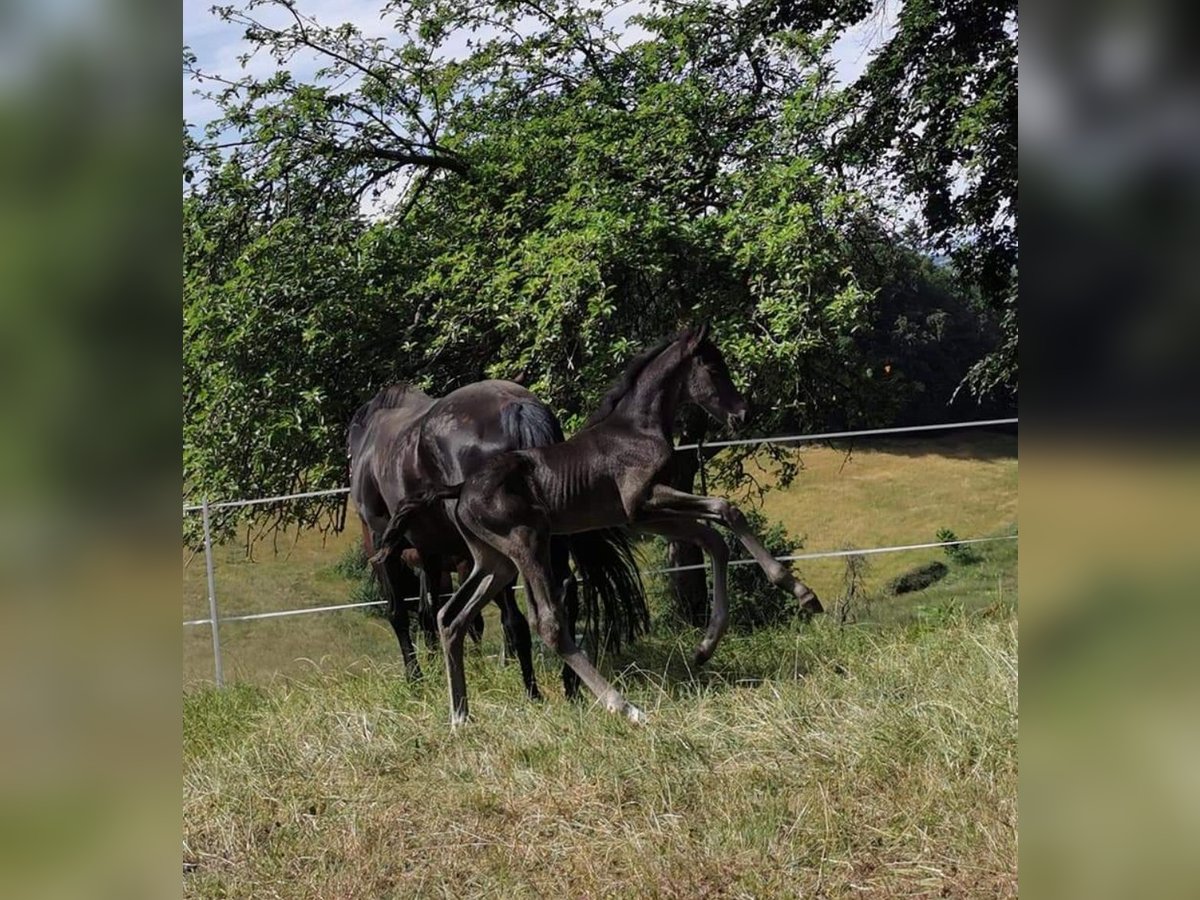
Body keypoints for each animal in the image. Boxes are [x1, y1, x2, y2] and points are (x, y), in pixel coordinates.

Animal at [348, 379, 648, 696]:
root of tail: (517, 407)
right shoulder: (431, 552)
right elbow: (431, 612)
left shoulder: (384, 545)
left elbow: (401, 614)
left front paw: (416, 679)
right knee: (561, 593)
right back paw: (570, 687)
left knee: (515, 619)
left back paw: (533, 691)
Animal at [379, 328, 820, 729]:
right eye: (713, 367)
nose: (741, 414)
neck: (637, 429)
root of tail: (460, 487)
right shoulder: (644, 502)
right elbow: (726, 510)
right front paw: (801, 592)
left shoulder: (646, 515)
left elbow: (714, 538)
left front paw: (705, 647)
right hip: (527, 543)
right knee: (547, 622)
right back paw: (624, 707)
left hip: (493, 561)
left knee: (450, 617)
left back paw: (460, 717)